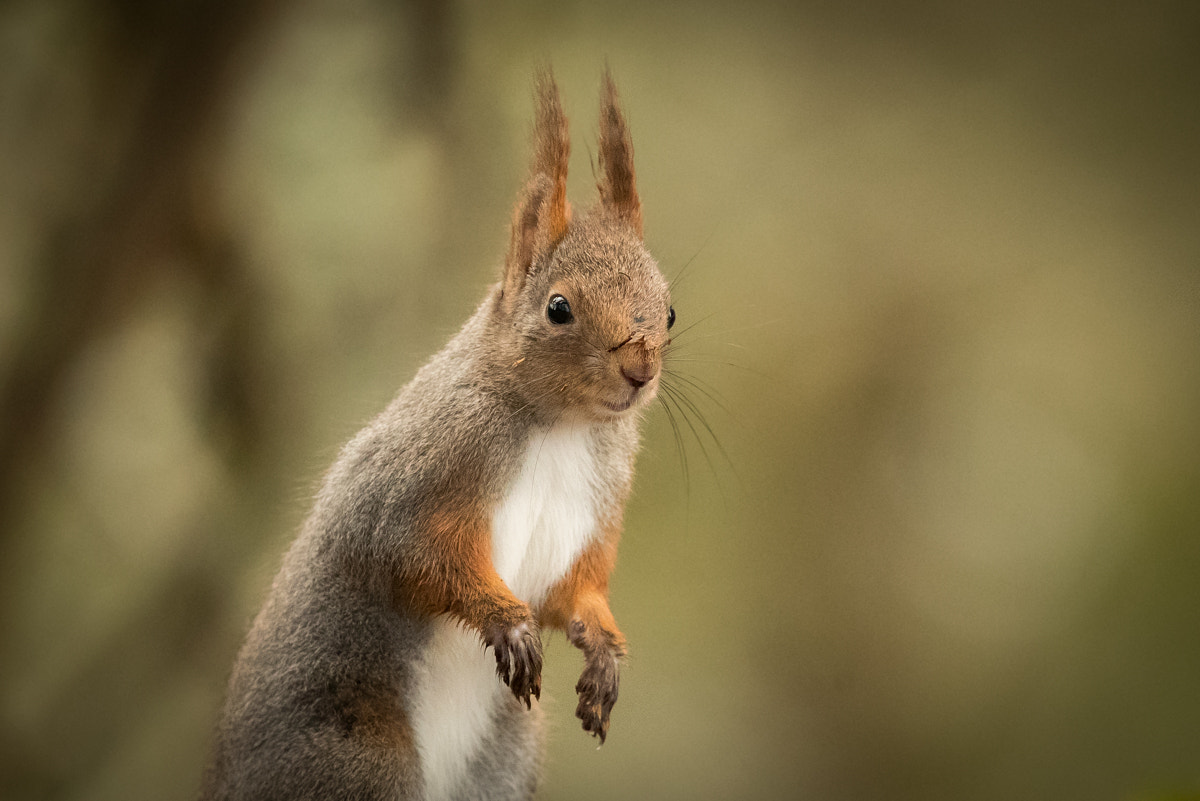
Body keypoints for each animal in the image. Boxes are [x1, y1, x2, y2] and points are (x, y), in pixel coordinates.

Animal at [202, 68, 681, 801]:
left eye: (671, 311)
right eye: (559, 307)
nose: (640, 369)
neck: (561, 427)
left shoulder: (591, 509)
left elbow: (574, 590)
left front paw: (604, 648)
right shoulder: (419, 473)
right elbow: (412, 551)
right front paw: (503, 617)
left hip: (502, 756)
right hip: (357, 758)